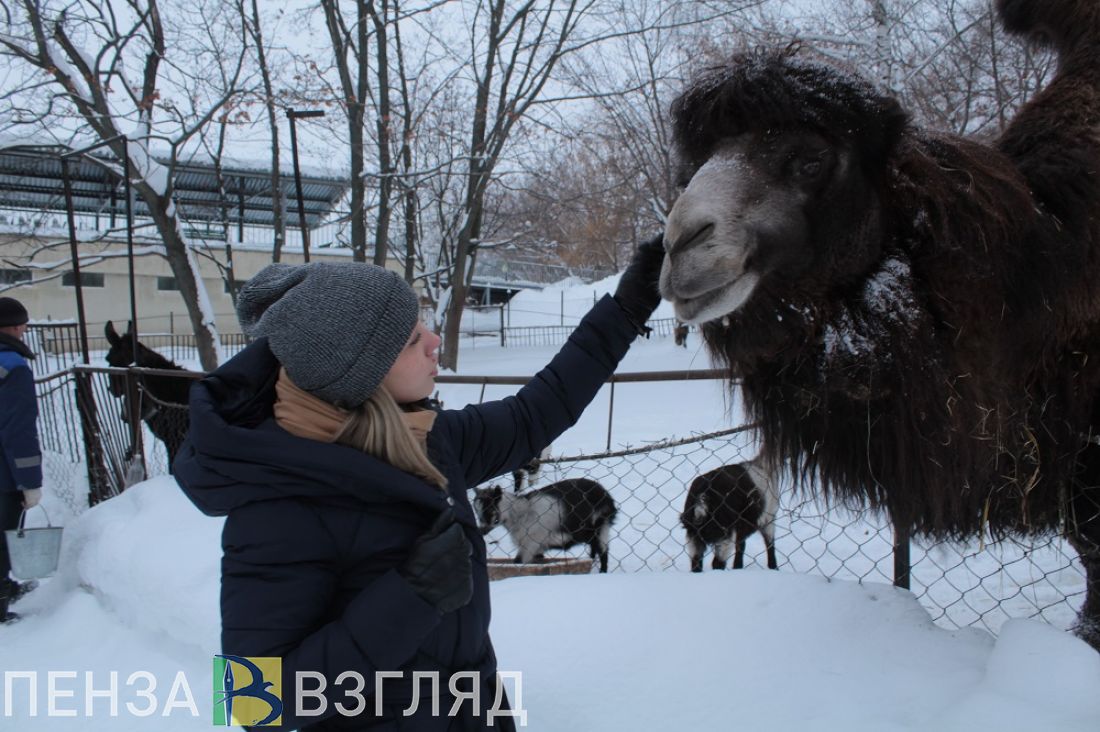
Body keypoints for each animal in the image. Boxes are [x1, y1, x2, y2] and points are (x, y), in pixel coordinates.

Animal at [470, 479, 616, 572]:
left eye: (490, 509)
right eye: (477, 511)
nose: (482, 531)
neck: (521, 513)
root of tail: (607, 497)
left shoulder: (530, 544)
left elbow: (518, 562)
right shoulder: (537, 547)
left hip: (601, 526)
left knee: (603, 551)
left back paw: (602, 571)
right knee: (594, 547)